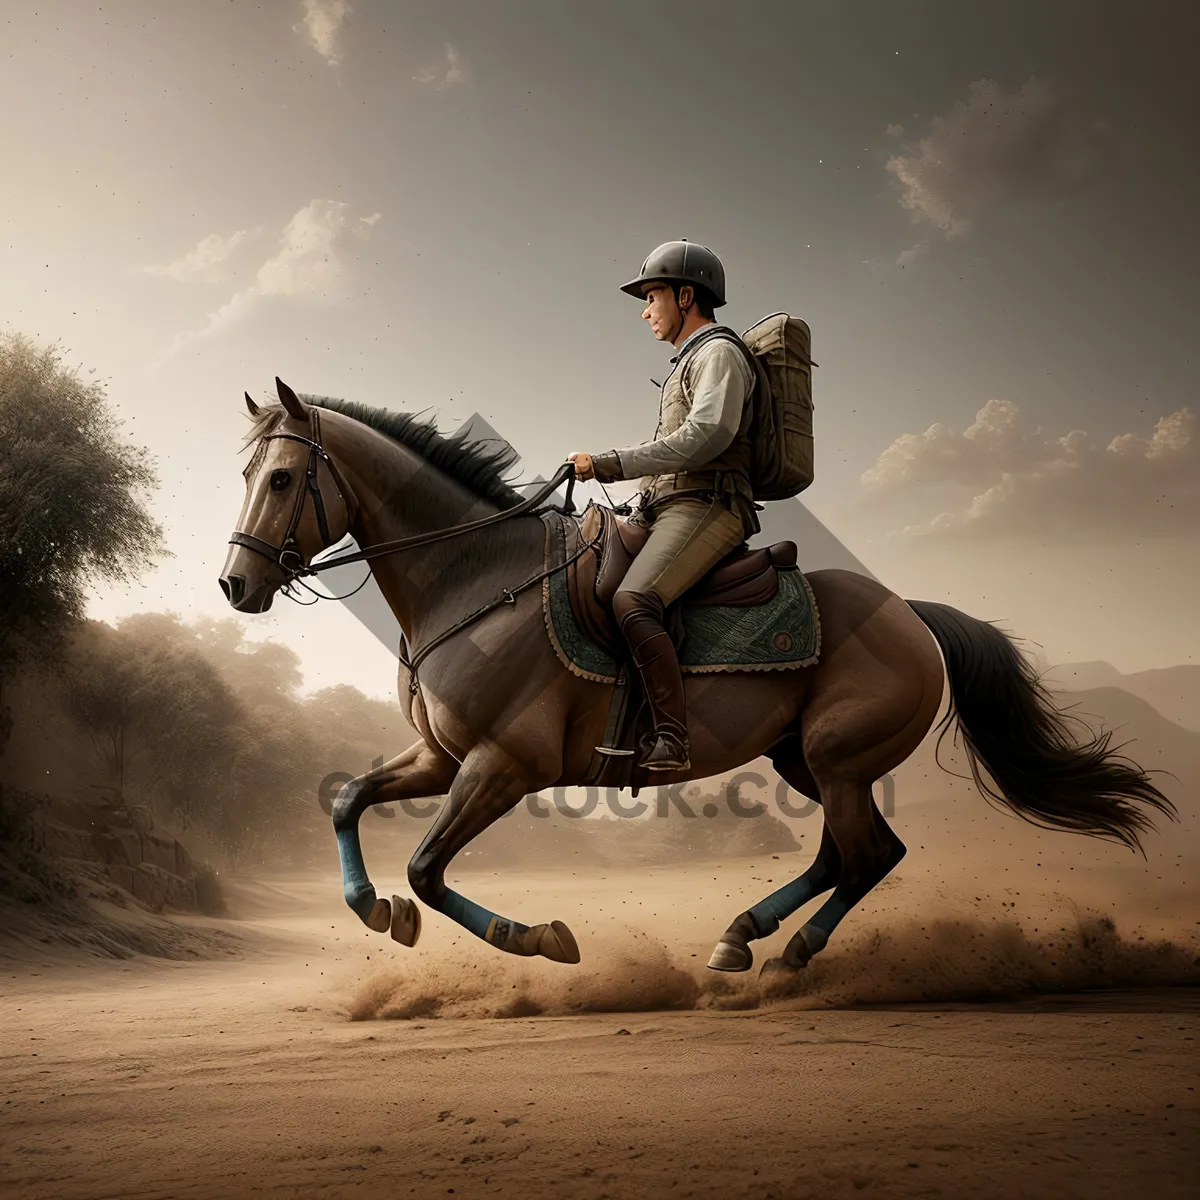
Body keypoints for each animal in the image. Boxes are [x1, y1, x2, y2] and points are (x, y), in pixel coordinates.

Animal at [220, 381, 1176, 974]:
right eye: (246, 472)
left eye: (282, 477)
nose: (235, 584)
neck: (476, 579)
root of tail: (910, 613)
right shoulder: (441, 759)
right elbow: (348, 801)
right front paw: (373, 909)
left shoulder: (502, 766)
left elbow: (425, 868)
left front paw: (541, 938)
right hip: (807, 760)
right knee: (854, 853)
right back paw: (742, 937)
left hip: (836, 760)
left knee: (865, 855)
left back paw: (781, 952)